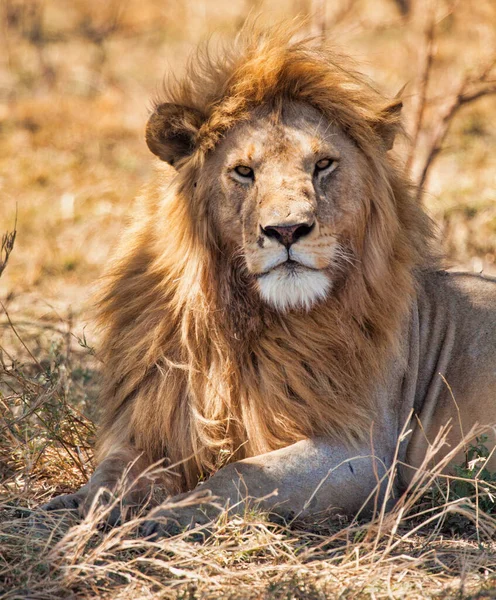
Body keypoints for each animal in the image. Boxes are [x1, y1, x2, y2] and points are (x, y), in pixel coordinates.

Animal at [41, 23, 496, 536]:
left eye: (323, 165)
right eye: (244, 171)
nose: (287, 230)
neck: (245, 324)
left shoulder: (363, 453)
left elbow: (242, 474)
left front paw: (166, 516)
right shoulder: (154, 422)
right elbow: (114, 469)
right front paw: (80, 507)